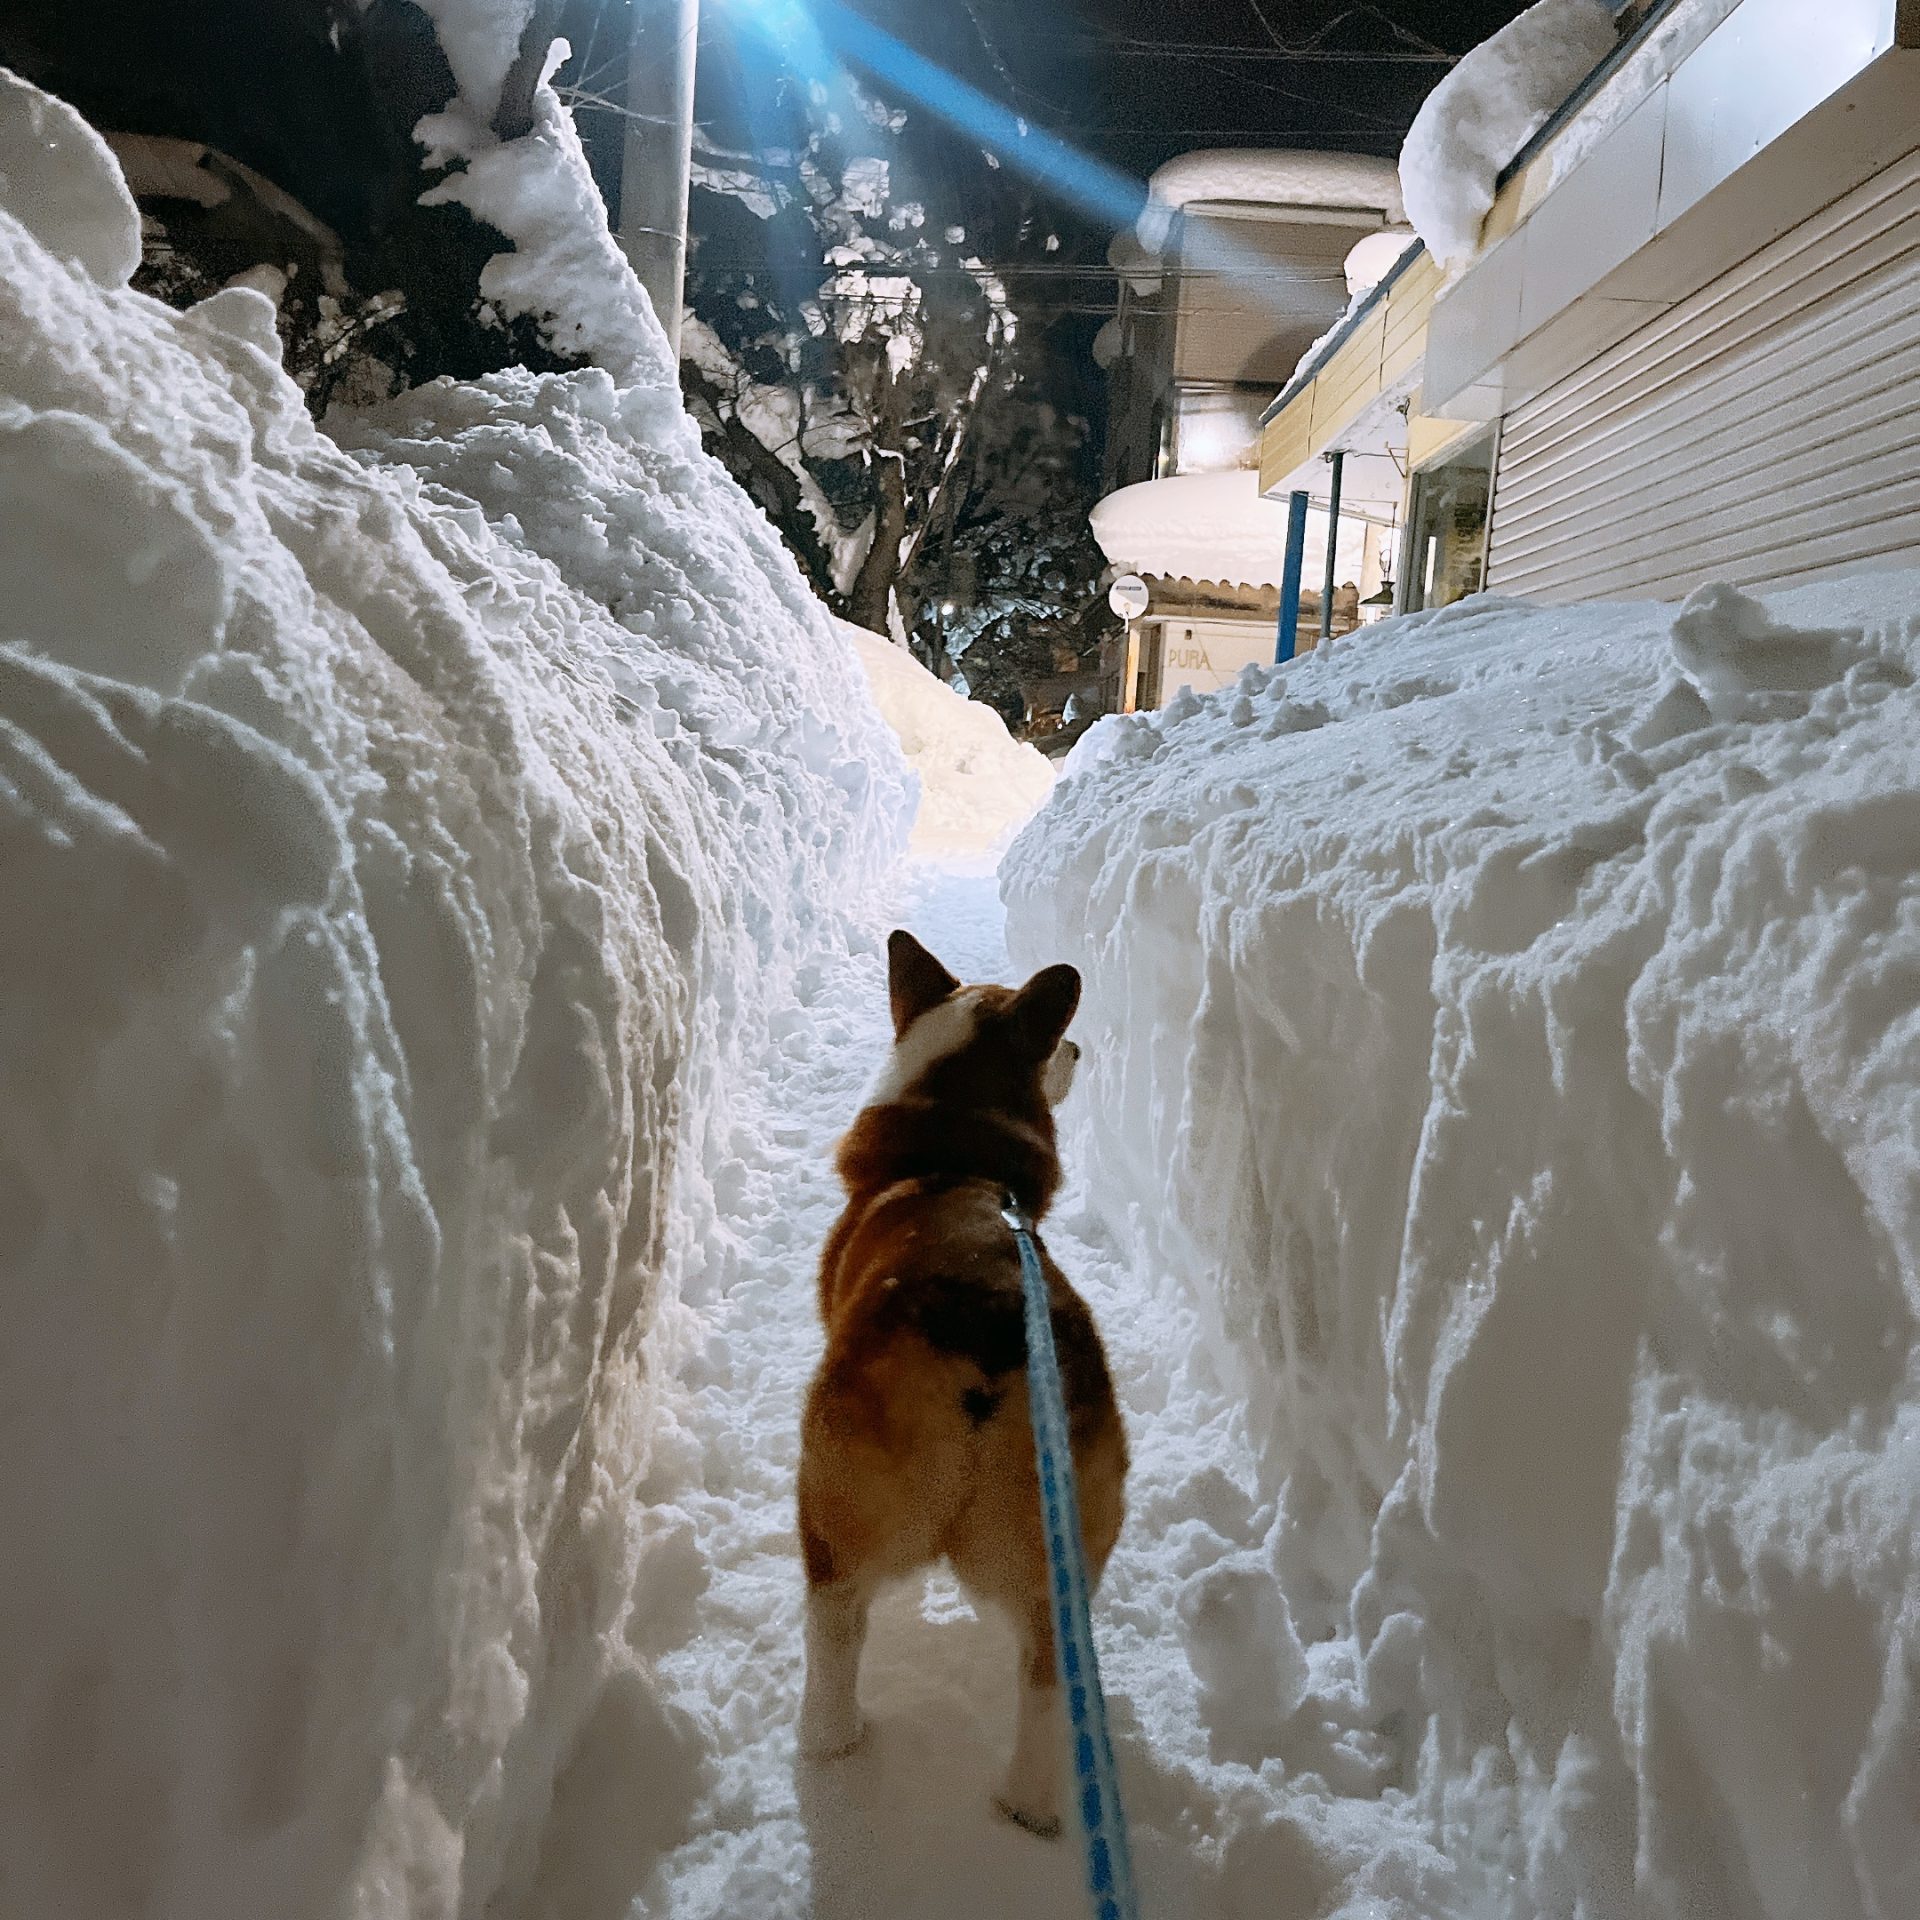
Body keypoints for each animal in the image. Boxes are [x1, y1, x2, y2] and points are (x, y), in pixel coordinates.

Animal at [794, 936, 1121, 1835]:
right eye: (1054, 1045)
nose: (1081, 1050)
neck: (952, 1159)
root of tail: (990, 1342)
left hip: (831, 1497)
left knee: (836, 1623)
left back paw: (827, 1742)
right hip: (1066, 1534)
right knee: (1047, 1672)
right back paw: (1033, 1806)